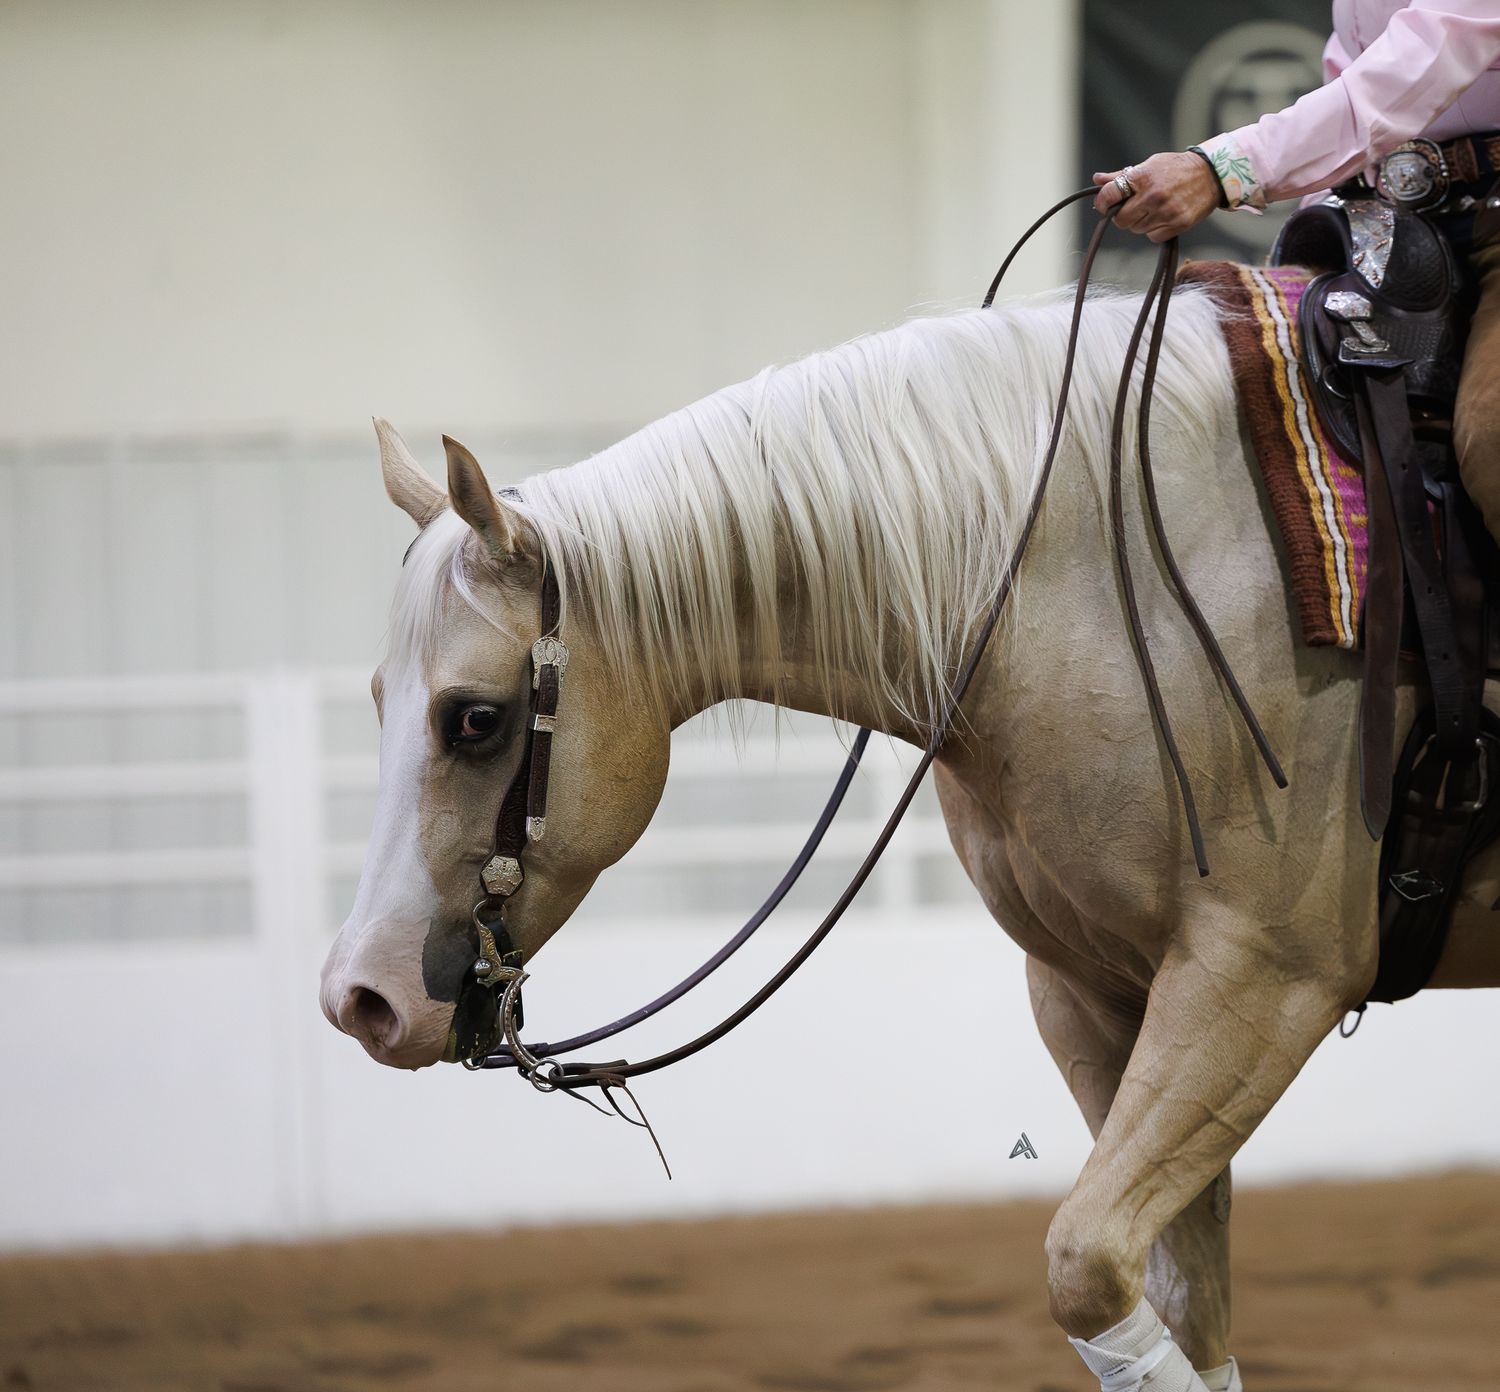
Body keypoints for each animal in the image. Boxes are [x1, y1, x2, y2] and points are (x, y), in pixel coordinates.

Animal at [318, 281, 1500, 1390]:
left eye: (475, 718)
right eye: (378, 697)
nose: (359, 997)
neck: (1087, 589)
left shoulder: (1261, 980)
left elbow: (1085, 1264)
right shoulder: (1095, 989)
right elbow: (1181, 1297)